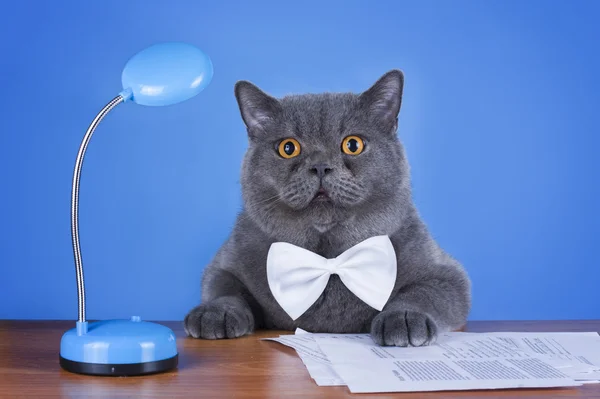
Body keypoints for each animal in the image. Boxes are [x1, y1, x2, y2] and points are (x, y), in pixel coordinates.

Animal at [185, 70, 472, 346]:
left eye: (353, 144)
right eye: (288, 148)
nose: (320, 165)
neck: (327, 254)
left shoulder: (447, 274)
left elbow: (423, 292)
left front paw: (403, 318)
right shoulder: (226, 263)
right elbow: (224, 288)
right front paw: (214, 314)